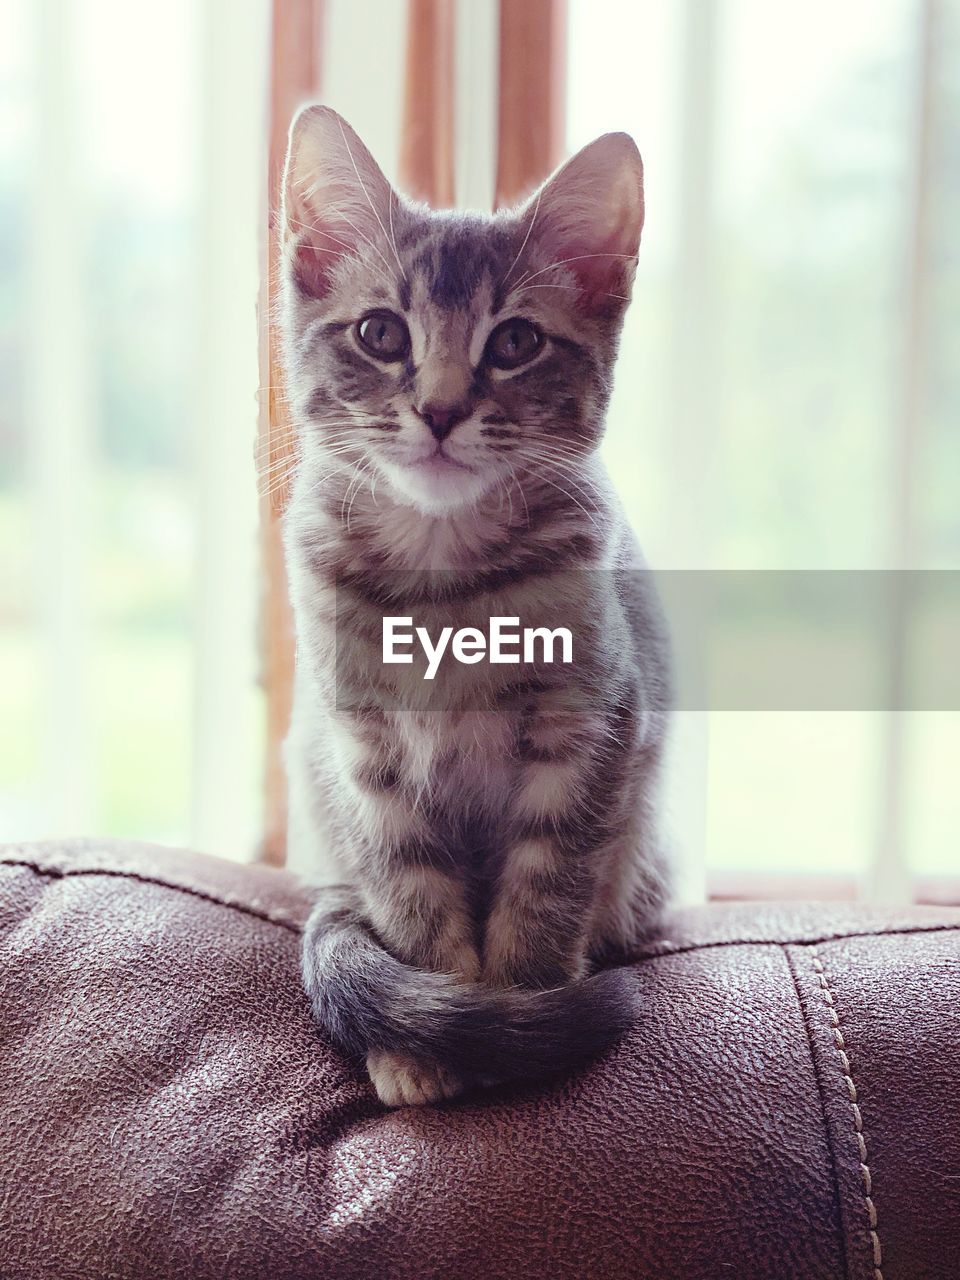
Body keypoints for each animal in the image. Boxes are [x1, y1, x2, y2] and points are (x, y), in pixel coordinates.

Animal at [280, 107, 670, 1111]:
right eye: (381, 333)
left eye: (516, 343)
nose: (443, 409)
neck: (443, 584)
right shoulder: (363, 751)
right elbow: (408, 888)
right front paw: (432, 1031)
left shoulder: (591, 724)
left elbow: (546, 882)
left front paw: (521, 1014)